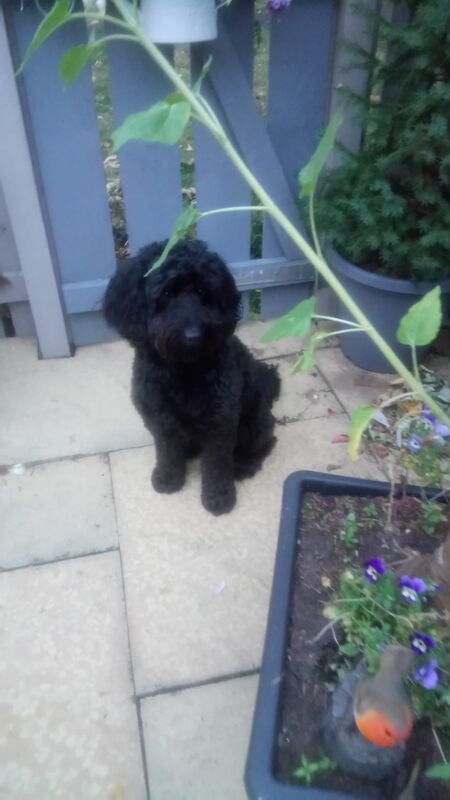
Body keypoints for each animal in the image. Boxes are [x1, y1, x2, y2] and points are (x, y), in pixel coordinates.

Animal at [105, 239, 280, 512]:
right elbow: (166, 450)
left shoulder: (220, 421)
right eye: (166, 293)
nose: (193, 335)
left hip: (254, 424)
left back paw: (243, 465)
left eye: (202, 291)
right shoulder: (160, 417)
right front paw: (168, 478)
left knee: (266, 443)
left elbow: (217, 464)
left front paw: (218, 497)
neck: (184, 370)